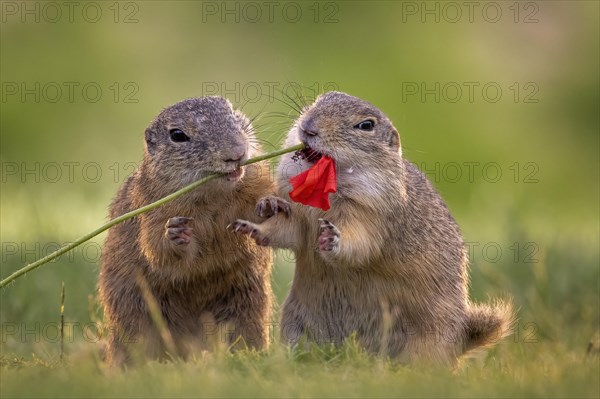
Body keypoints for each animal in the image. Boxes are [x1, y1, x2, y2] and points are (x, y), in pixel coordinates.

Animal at [99, 97, 274, 366]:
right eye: (178, 135)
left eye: (231, 111)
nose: (236, 152)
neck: (213, 196)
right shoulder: (150, 210)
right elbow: (156, 248)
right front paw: (175, 232)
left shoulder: (255, 183)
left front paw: (269, 205)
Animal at [232, 92, 512, 368]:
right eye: (319, 100)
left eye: (366, 125)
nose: (308, 128)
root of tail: (462, 341)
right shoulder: (300, 217)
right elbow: (287, 231)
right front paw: (258, 216)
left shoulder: (372, 216)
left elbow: (360, 244)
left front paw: (332, 238)